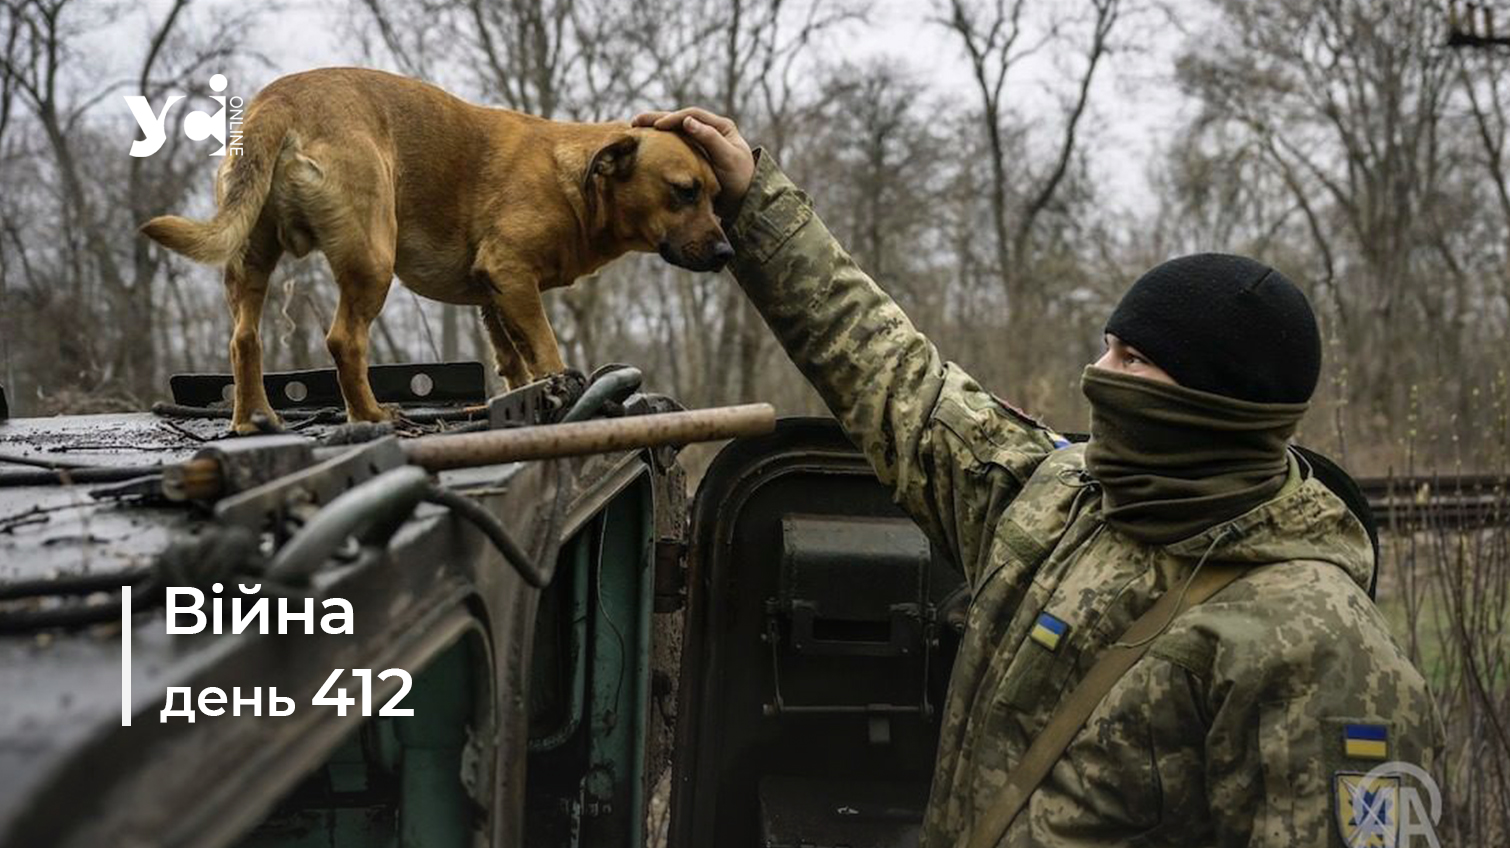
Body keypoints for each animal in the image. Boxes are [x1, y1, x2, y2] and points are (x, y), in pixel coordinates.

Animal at [141, 67, 730, 428]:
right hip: (372, 260)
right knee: (343, 340)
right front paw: (562, 387)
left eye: (716, 193)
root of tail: (281, 101)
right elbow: (543, 347)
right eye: (685, 191)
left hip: (250, 258)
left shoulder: (495, 295)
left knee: (244, 338)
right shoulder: (512, 274)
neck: (576, 181)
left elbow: (513, 360)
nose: (726, 254)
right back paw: (371, 417)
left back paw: (253, 419)